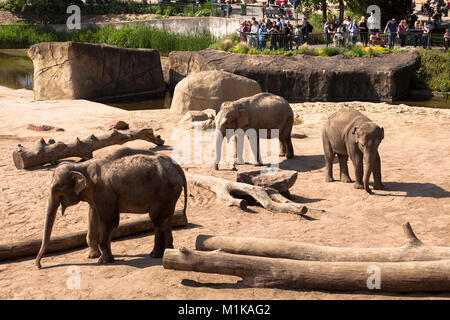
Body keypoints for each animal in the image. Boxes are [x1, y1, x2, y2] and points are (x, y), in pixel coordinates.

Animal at [34, 148, 186, 268]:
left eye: (56, 189)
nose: (39, 265)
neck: (80, 166)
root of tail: (176, 166)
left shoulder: (104, 192)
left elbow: (110, 220)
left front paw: (103, 261)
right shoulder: (95, 196)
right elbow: (92, 215)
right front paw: (91, 256)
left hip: (163, 192)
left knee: (157, 219)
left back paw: (155, 254)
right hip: (170, 194)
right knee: (168, 217)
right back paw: (168, 250)